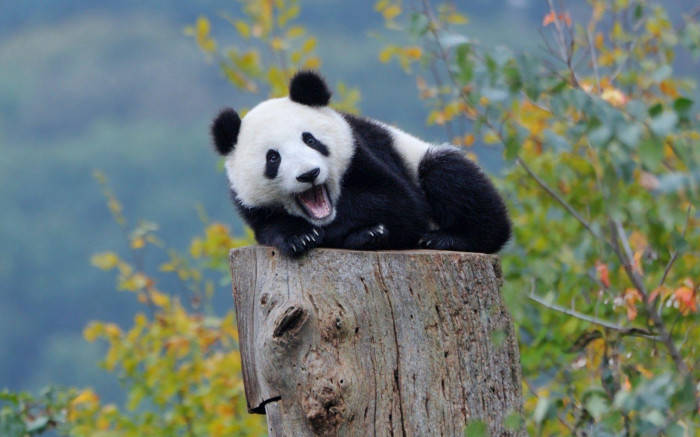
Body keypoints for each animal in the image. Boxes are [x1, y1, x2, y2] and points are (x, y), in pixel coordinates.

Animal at [211, 70, 512, 258]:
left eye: (310, 139)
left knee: (450, 177)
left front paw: (360, 231)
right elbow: (270, 227)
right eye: (273, 157)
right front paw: (300, 238)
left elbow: (398, 202)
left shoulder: (363, 151)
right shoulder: (250, 205)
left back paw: (447, 238)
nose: (309, 174)